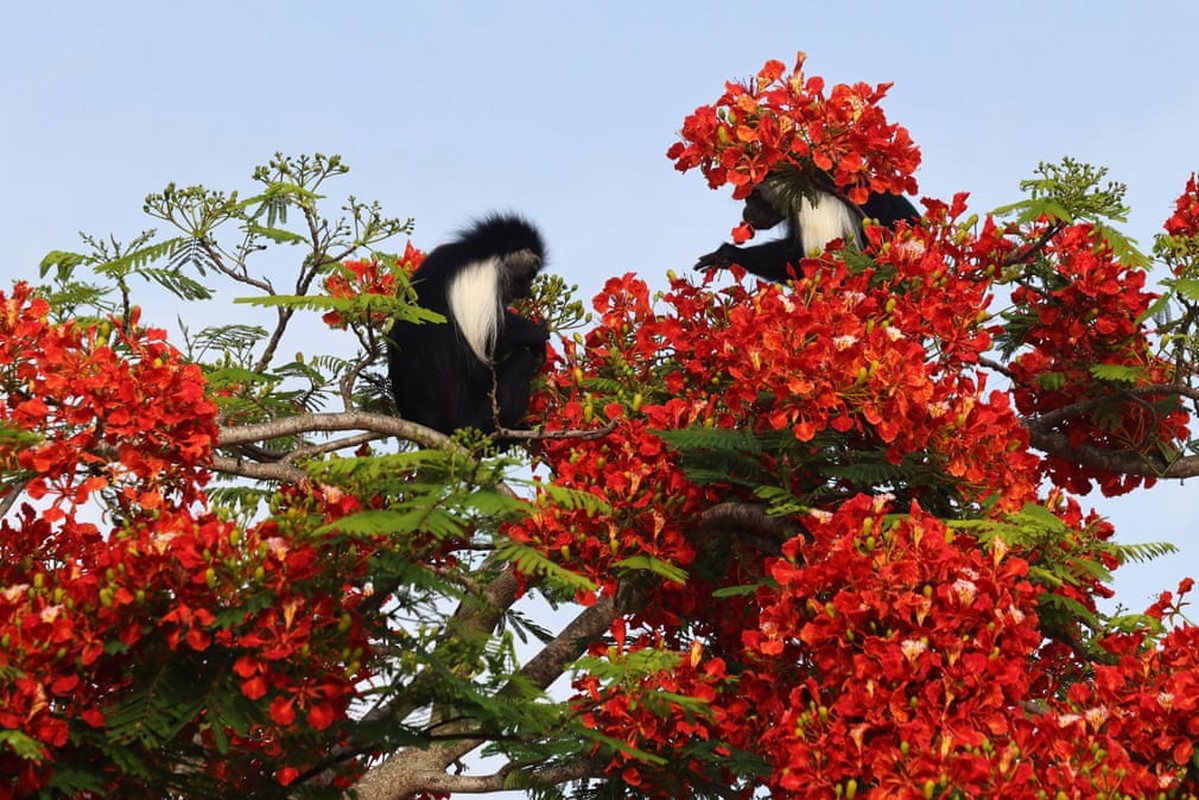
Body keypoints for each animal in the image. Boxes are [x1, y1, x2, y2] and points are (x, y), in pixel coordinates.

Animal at [386, 212, 549, 438]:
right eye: (530, 274)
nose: (527, 291)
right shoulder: (488, 277)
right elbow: (495, 335)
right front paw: (537, 335)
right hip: (475, 415)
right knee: (521, 359)